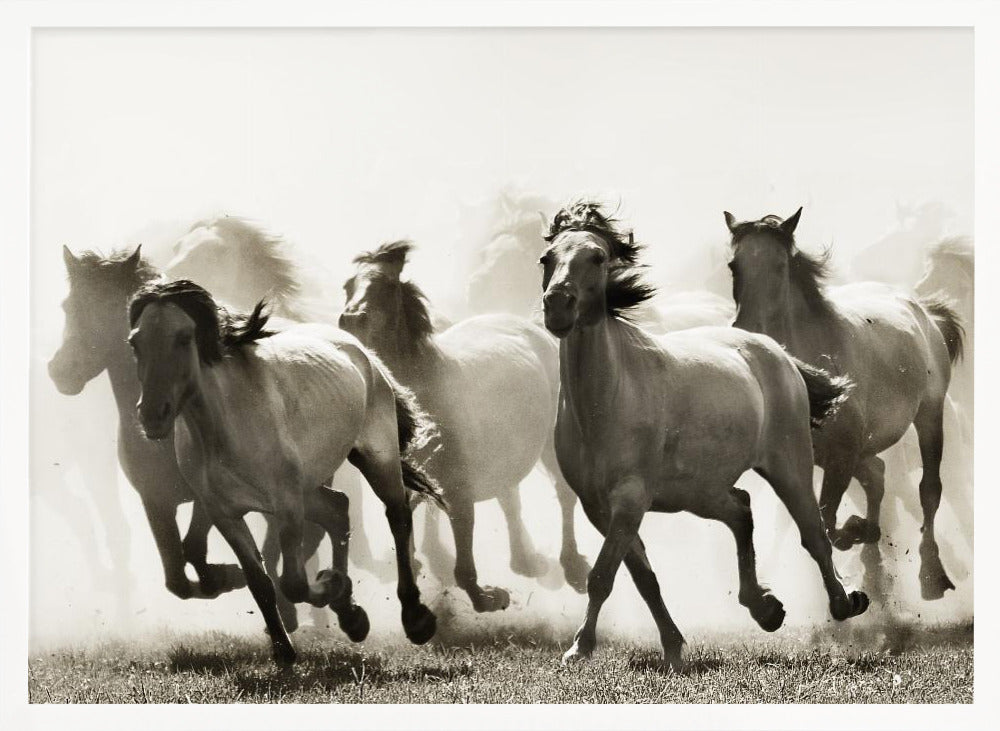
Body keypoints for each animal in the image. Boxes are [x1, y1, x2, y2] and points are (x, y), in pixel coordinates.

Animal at [126, 280, 440, 663]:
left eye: (185, 337)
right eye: (135, 342)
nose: (152, 415)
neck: (225, 426)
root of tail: (362, 352)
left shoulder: (286, 504)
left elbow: (292, 582)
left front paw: (328, 585)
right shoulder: (224, 513)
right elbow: (259, 581)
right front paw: (283, 649)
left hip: (376, 458)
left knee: (397, 515)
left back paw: (415, 619)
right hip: (309, 487)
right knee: (338, 509)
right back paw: (351, 617)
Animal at [339, 240, 592, 611]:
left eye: (385, 286)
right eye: (348, 286)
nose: (350, 320)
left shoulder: (459, 490)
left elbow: (463, 565)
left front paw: (488, 597)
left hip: (549, 443)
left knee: (563, 494)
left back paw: (572, 567)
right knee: (509, 498)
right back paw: (526, 561)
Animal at [539, 201, 868, 668]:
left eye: (598, 257)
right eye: (546, 259)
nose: (557, 306)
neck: (606, 400)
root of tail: (777, 351)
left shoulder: (629, 499)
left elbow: (602, 575)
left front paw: (578, 648)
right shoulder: (598, 507)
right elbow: (643, 578)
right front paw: (673, 648)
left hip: (789, 466)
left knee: (814, 535)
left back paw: (845, 602)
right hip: (700, 491)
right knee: (742, 509)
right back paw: (765, 608)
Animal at [723, 208, 964, 603]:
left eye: (779, 265)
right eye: (734, 265)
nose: (747, 328)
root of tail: (925, 312)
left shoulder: (842, 454)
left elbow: (828, 521)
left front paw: (856, 534)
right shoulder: (815, 458)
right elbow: (825, 521)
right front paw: (861, 534)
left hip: (929, 415)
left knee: (928, 490)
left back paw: (931, 575)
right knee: (877, 475)